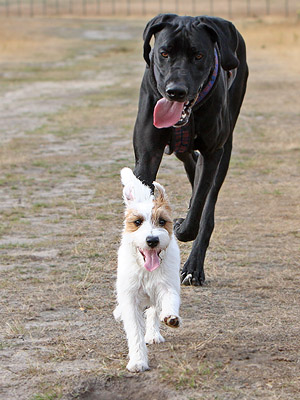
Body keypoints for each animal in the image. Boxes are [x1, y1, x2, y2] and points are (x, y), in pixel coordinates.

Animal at [113, 168, 180, 372]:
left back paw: (153, 334)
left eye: (162, 221)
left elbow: (169, 301)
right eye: (137, 222)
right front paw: (138, 360)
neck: (147, 269)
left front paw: (171, 317)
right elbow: (134, 332)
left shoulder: (167, 286)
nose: (152, 240)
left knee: (153, 312)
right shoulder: (131, 299)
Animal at [132, 14, 247, 284]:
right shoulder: (148, 155)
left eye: (199, 56)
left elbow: (198, 209)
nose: (176, 91)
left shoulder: (213, 152)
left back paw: (194, 267)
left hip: (225, 149)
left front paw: (182, 227)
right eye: (164, 53)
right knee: (188, 157)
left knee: (207, 206)